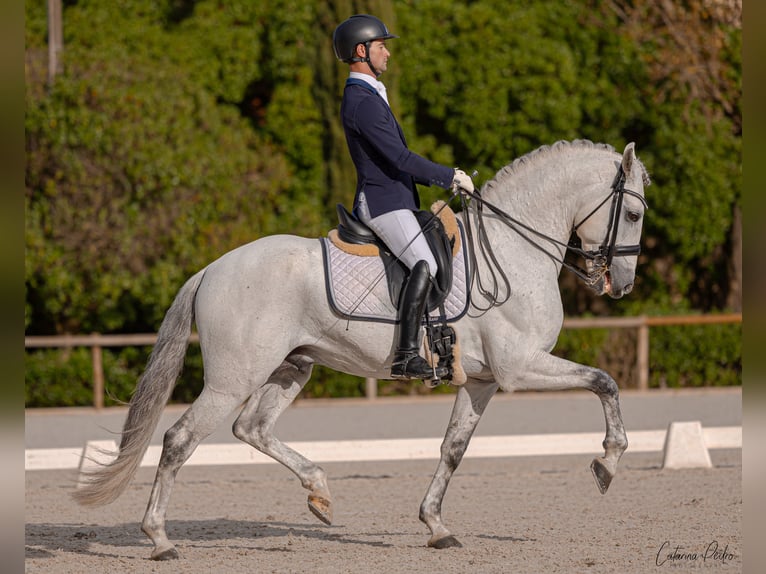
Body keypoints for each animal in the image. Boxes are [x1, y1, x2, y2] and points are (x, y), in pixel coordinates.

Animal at [72, 139, 650, 559]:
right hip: (233, 378)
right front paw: (608, 463)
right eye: (634, 216)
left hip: (292, 367)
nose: (620, 284)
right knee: (180, 439)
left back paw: (320, 493)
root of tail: (212, 268)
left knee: (251, 428)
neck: (512, 251)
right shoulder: (520, 368)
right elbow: (604, 381)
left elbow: (453, 449)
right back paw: (160, 539)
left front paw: (436, 526)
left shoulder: (484, 381)